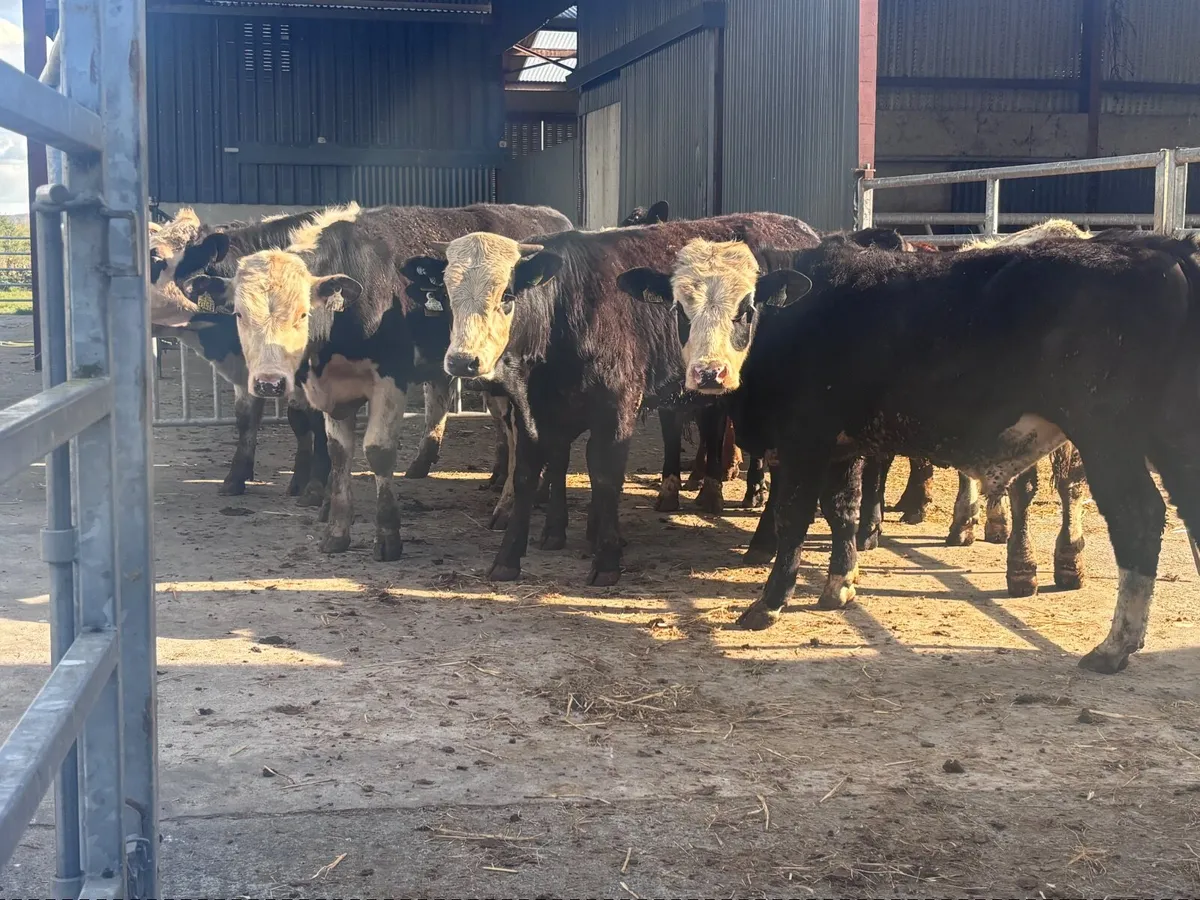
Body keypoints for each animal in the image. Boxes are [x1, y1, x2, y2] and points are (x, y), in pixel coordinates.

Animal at [186, 203, 572, 561]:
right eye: (239, 314)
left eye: (303, 314)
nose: (269, 383)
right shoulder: (328, 391)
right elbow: (338, 453)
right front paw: (336, 531)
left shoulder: (389, 381)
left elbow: (378, 451)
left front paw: (388, 536)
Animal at [401, 213, 820, 586]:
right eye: (447, 295)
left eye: (506, 295)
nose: (463, 361)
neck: (565, 312)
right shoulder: (532, 410)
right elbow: (529, 472)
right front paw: (510, 557)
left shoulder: (617, 406)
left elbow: (604, 473)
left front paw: (605, 560)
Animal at [637, 229, 1200, 674]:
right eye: (680, 307)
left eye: (747, 307)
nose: (708, 373)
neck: (798, 318)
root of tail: (1156, 248)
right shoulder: (840, 448)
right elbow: (841, 512)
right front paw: (840, 585)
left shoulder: (805, 442)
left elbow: (793, 520)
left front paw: (769, 605)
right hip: (1171, 435)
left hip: (1109, 435)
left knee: (1140, 517)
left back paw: (1114, 646)